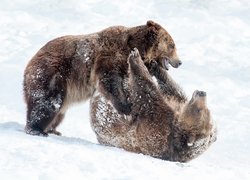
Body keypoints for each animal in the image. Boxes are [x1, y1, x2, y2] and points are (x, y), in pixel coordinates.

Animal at [23, 20, 182, 136]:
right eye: (172, 45)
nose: (179, 62)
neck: (134, 47)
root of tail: (30, 61)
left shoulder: (124, 68)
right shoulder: (109, 57)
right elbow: (110, 82)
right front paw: (126, 108)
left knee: (59, 111)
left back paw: (53, 129)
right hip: (53, 73)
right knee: (47, 102)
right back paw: (37, 129)